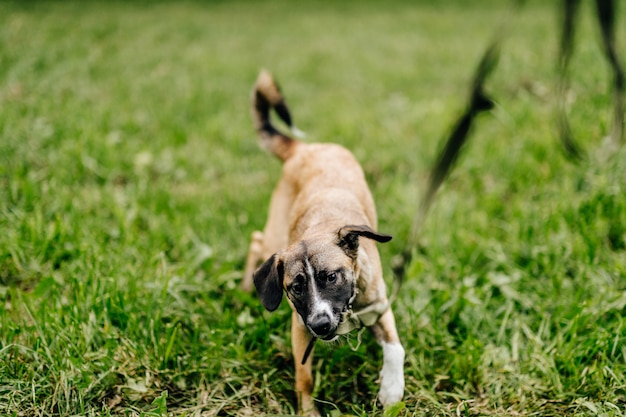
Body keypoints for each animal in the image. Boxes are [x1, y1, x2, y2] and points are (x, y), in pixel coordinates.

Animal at [241, 70, 402, 414]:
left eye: (331, 277)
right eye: (296, 287)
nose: (322, 326)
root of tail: (305, 148)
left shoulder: (380, 305)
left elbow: (396, 349)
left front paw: (392, 390)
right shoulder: (300, 325)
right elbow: (304, 376)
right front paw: (308, 410)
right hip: (276, 233)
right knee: (257, 239)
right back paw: (247, 288)